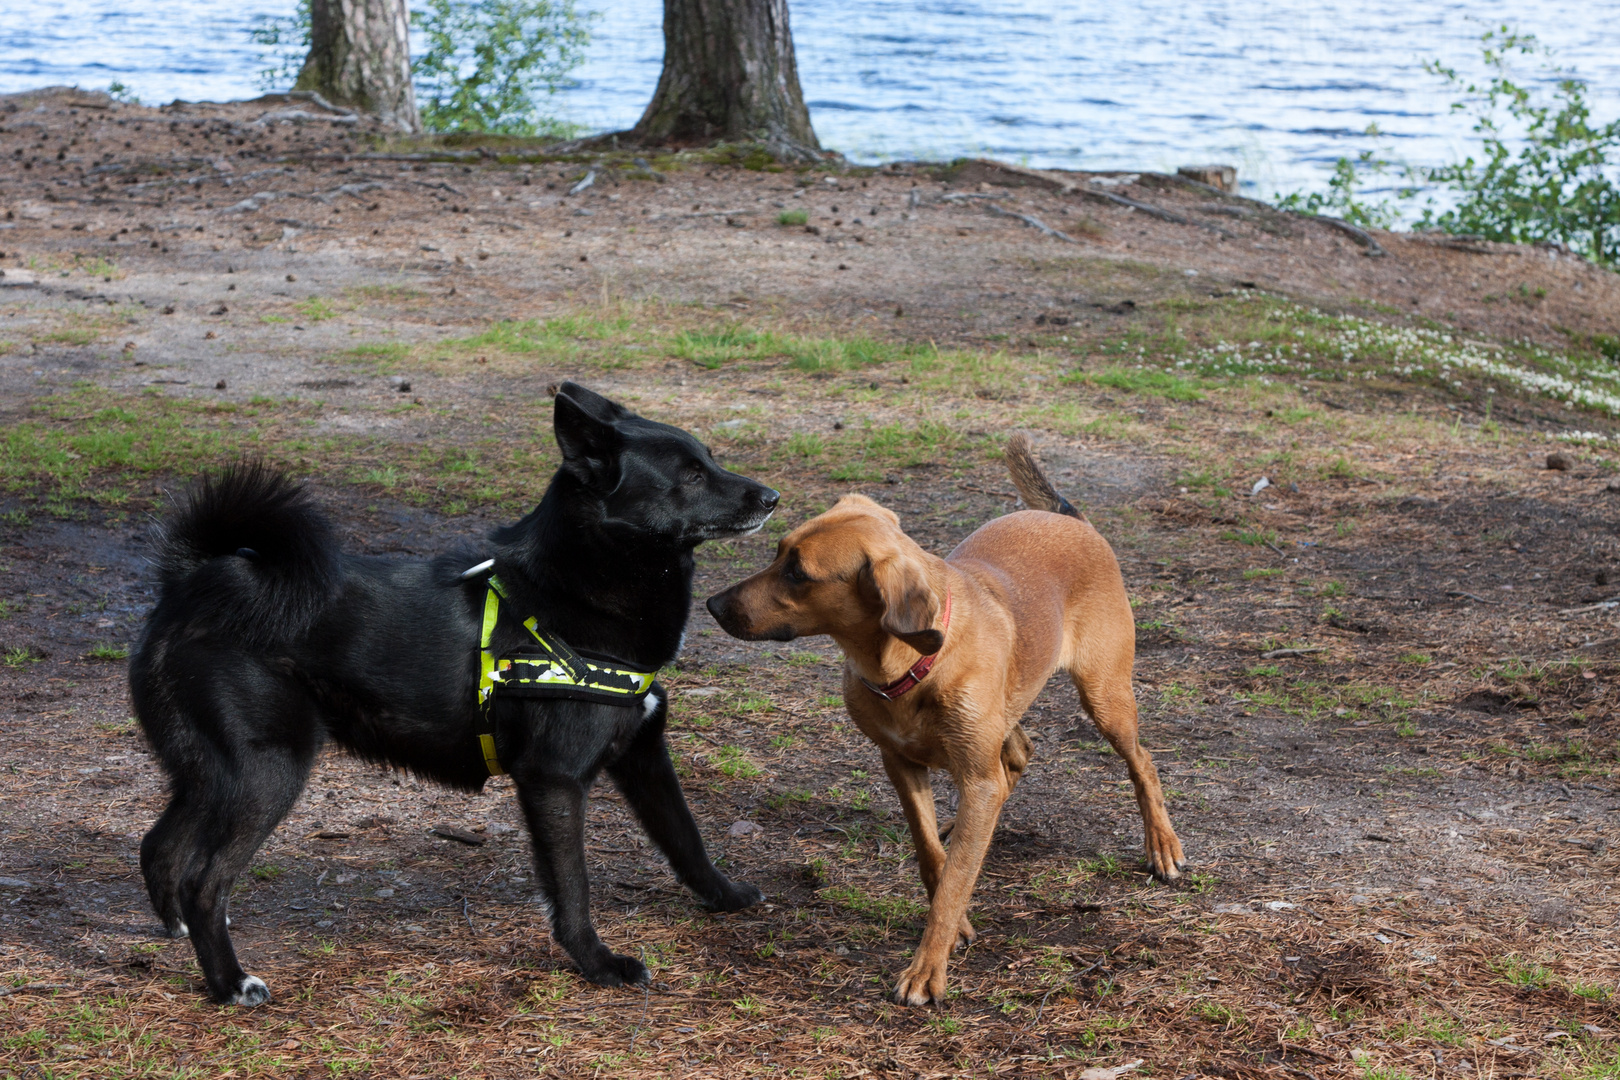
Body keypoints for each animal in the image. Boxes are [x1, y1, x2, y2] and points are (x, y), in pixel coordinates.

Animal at [132, 382, 777, 1003]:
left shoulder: (644, 755)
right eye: (690, 475)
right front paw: (597, 964)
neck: (576, 586)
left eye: (710, 459)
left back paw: (181, 932)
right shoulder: (553, 778)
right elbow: (573, 887)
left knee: (159, 846)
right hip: (268, 771)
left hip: (212, 772)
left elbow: (686, 838)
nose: (771, 497)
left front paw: (726, 897)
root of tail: (193, 580)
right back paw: (229, 984)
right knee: (204, 881)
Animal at [703, 437, 1185, 1003]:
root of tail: (1070, 518)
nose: (712, 604)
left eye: (798, 572)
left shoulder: (975, 773)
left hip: (1105, 698)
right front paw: (951, 911)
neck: (908, 664)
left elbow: (956, 882)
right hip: (1007, 711)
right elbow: (931, 851)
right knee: (1017, 755)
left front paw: (927, 968)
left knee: (1142, 762)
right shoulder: (900, 763)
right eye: (778, 551)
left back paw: (1162, 846)